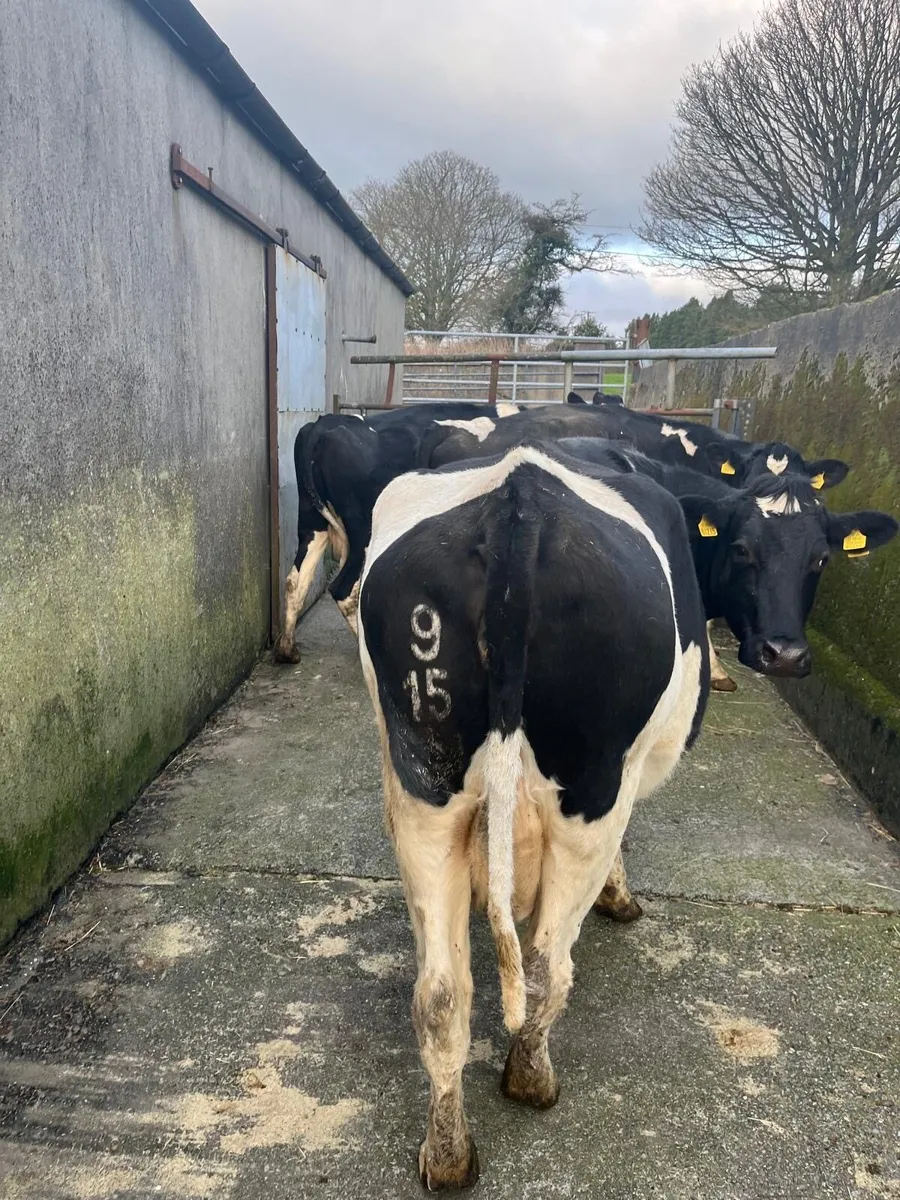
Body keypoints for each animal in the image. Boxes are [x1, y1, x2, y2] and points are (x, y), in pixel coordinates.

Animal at [274, 403, 519, 664]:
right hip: (363, 531)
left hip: (312, 521)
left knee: (296, 580)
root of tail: (322, 424)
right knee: (344, 589)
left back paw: (287, 650)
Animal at [358, 443, 709, 1188]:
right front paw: (620, 897)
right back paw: (532, 1080)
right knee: (548, 965)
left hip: (424, 782)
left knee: (440, 994)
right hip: (592, 789)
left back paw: (449, 1156)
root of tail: (517, 506)